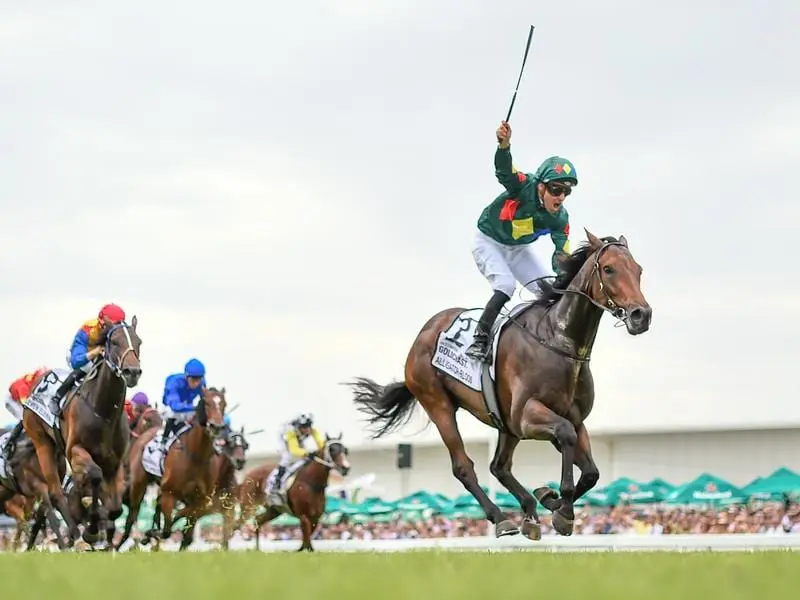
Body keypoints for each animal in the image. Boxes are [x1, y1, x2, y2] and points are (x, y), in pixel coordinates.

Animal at [23, 318, 141, 548]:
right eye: (114, 342)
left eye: (139, 341)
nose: (132, 371)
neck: (104, 413)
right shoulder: (76, 450)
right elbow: (94, 475)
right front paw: (91, 530)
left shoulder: (114, 463)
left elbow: (115, 508)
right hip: (42, 443)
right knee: (55, 493)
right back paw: (75, 536)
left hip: (59, 455)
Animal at [117, 386, 227, 552]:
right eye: (207, 403)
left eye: (224, 404)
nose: (217, 426)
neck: (196, 456)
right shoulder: (169, 493)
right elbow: (168, 529)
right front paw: (150, 534)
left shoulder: (201, 500)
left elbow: (185, 529)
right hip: (139, 485)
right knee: (132, 516)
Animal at [350, 231, 648, 540]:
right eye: (609, 269)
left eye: (638, 270)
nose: (641, 315)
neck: (558, 341)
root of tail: (423, 335)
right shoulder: (527, 416)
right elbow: (565, 435)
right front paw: (562, 508)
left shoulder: (574, 421)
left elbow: (591, 472)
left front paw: (550, 499)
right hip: (438, 404)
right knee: (463, 466)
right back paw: (501, 518)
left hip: (505, 424)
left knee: (499, 466)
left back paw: (529, 510)